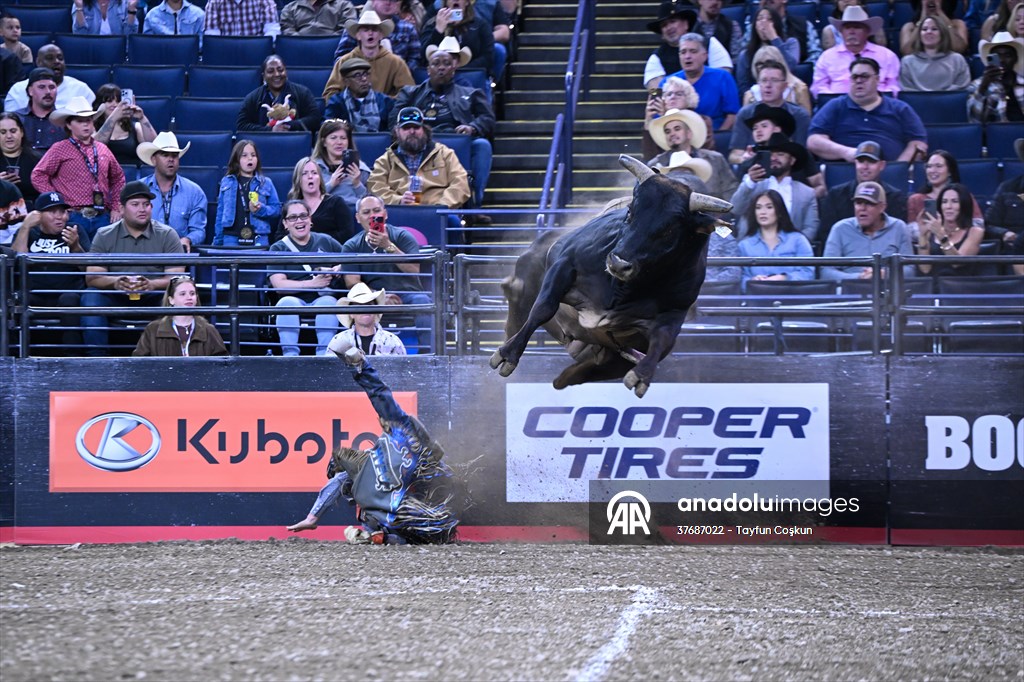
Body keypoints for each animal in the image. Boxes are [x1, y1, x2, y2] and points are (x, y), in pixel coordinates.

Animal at [489, 155, 733, 398]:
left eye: (669, 230)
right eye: (630, 212)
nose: (618, 263)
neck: (621, 289)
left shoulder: (674, 312)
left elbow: (661, 341)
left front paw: (642, 375)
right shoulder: (565, 262)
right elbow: (543, 308)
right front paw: (508, 354)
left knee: (591, 367)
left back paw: (566, 377)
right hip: (527, 279)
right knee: (518, 297)